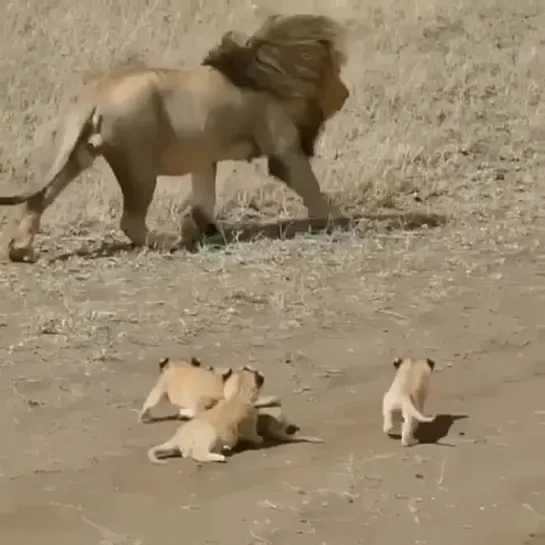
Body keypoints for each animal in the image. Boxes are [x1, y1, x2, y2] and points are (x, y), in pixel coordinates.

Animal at [0, 11, 348, 260]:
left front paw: (201, 226)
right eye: (337, 74)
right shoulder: (284, 148)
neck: (274, 72)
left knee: (41, 196)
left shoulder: (205, 156)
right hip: (138, 165)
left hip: (80, 153)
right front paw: (335, 218)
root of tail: (98, 89)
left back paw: (20, 249)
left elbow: (204, 193)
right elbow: (309, 184)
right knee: (130, 220)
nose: (345, 93)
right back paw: (167, 241)